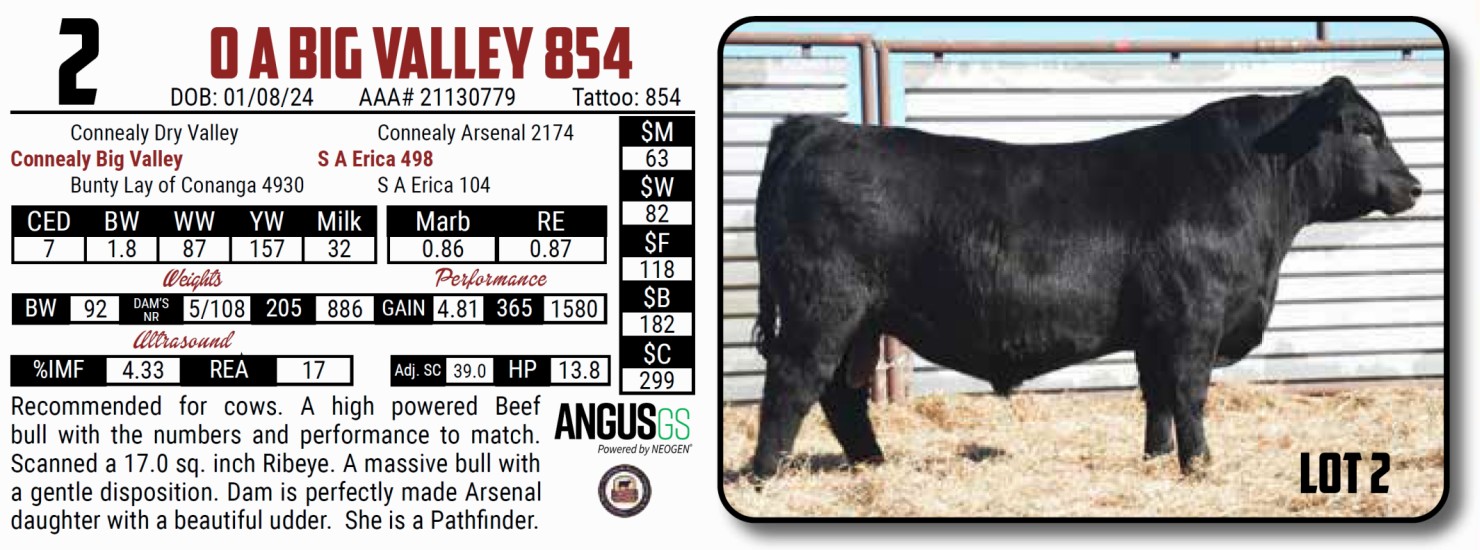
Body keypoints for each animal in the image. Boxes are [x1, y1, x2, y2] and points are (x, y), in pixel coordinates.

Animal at [749, 76, 1422, 478]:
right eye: (1367, 130)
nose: (1413, 185)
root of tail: (815, 127)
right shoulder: (1194, 320)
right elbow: (1190, 393)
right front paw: (1200, 467)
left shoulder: (1156, 329)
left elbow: (1157, 397)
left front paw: (1157, 461)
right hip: (822, 309)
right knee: (792, 384)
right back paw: (766, 475)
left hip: (861, 320)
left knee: (841, 396)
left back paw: (875, 466)